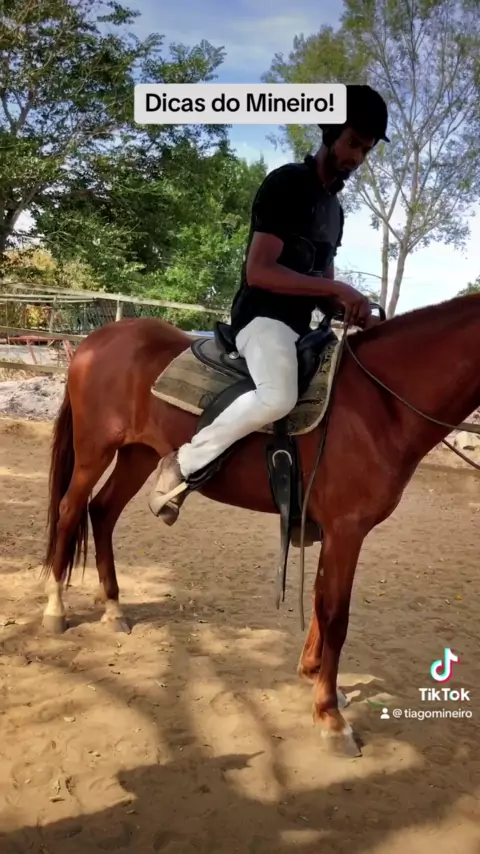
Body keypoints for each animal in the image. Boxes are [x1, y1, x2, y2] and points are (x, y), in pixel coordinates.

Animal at [40, 292, 480, 757]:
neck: (382, 405)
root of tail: (95, 341)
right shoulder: (347, 529)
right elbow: (336, 615)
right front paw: (330, 715)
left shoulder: (331, 531)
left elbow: (320, 601)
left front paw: (313, 676)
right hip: (94, 451)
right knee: (70, 511)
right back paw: (55, 608)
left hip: (137, 454)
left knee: (103, 512)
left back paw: (113, 607)